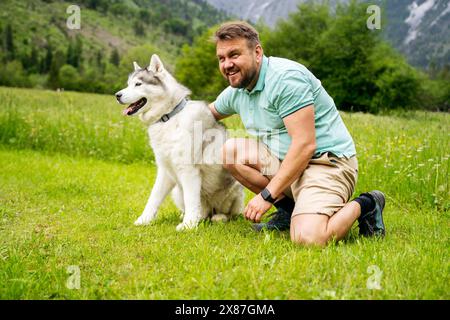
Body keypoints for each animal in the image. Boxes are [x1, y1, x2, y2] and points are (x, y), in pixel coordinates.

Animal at [114, 54, 244, 230]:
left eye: (138, 84)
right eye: (128, 84)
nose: (117, 95)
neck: (169, 116)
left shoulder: (189, 171)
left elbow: (191, 200)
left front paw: (188, 225)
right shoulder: (164, 171)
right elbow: (153, 198)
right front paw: (144, 220)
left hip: (233, 189)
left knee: (227, 214)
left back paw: (217, 217)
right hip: (177, 190)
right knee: (202, 210)